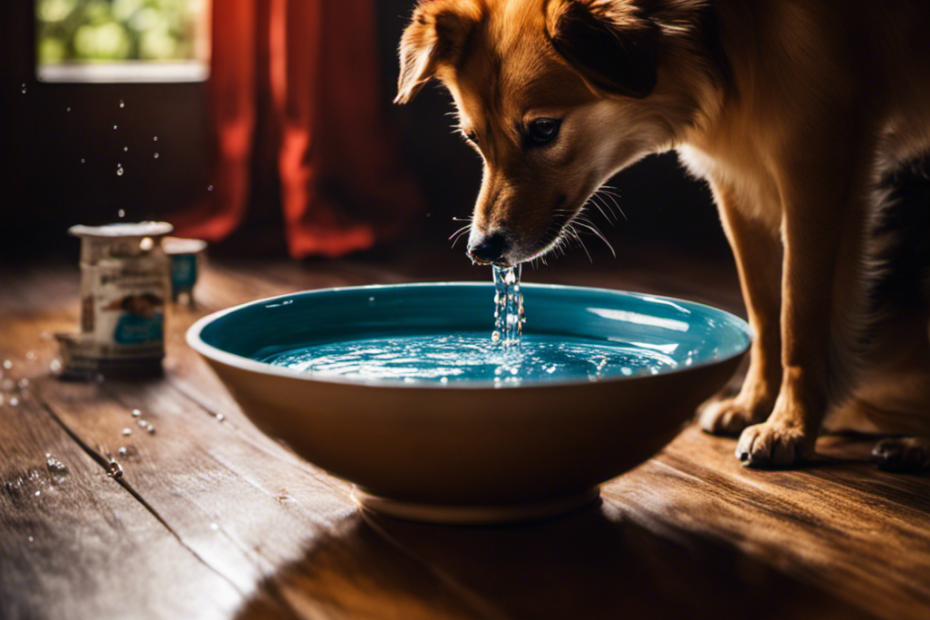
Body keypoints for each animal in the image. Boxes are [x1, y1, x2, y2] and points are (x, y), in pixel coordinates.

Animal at [396, 0, 928, 468]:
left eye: (544, 129)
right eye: (472, 138)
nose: (482, 249)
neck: (723, 35)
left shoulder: (816, 164)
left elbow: (799, 317)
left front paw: (789, 426)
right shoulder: (736, 182)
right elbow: (763, 309)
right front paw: (756, 405)